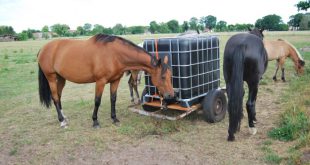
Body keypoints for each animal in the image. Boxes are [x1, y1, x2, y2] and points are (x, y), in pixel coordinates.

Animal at [37, 34, 174, 128]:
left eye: (170, 75)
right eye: (163, 77)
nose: (171, 95)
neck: (114, 55)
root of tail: (43, 48)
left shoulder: (115, 81)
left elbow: (113, 99)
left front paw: (114, 118)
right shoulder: (100, 81)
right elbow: (97, 101)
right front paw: (95, 121)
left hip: (61, 78)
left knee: (59, 96)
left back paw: (64, 117)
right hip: (51, 78)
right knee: (55, 97)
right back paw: (62, 121)